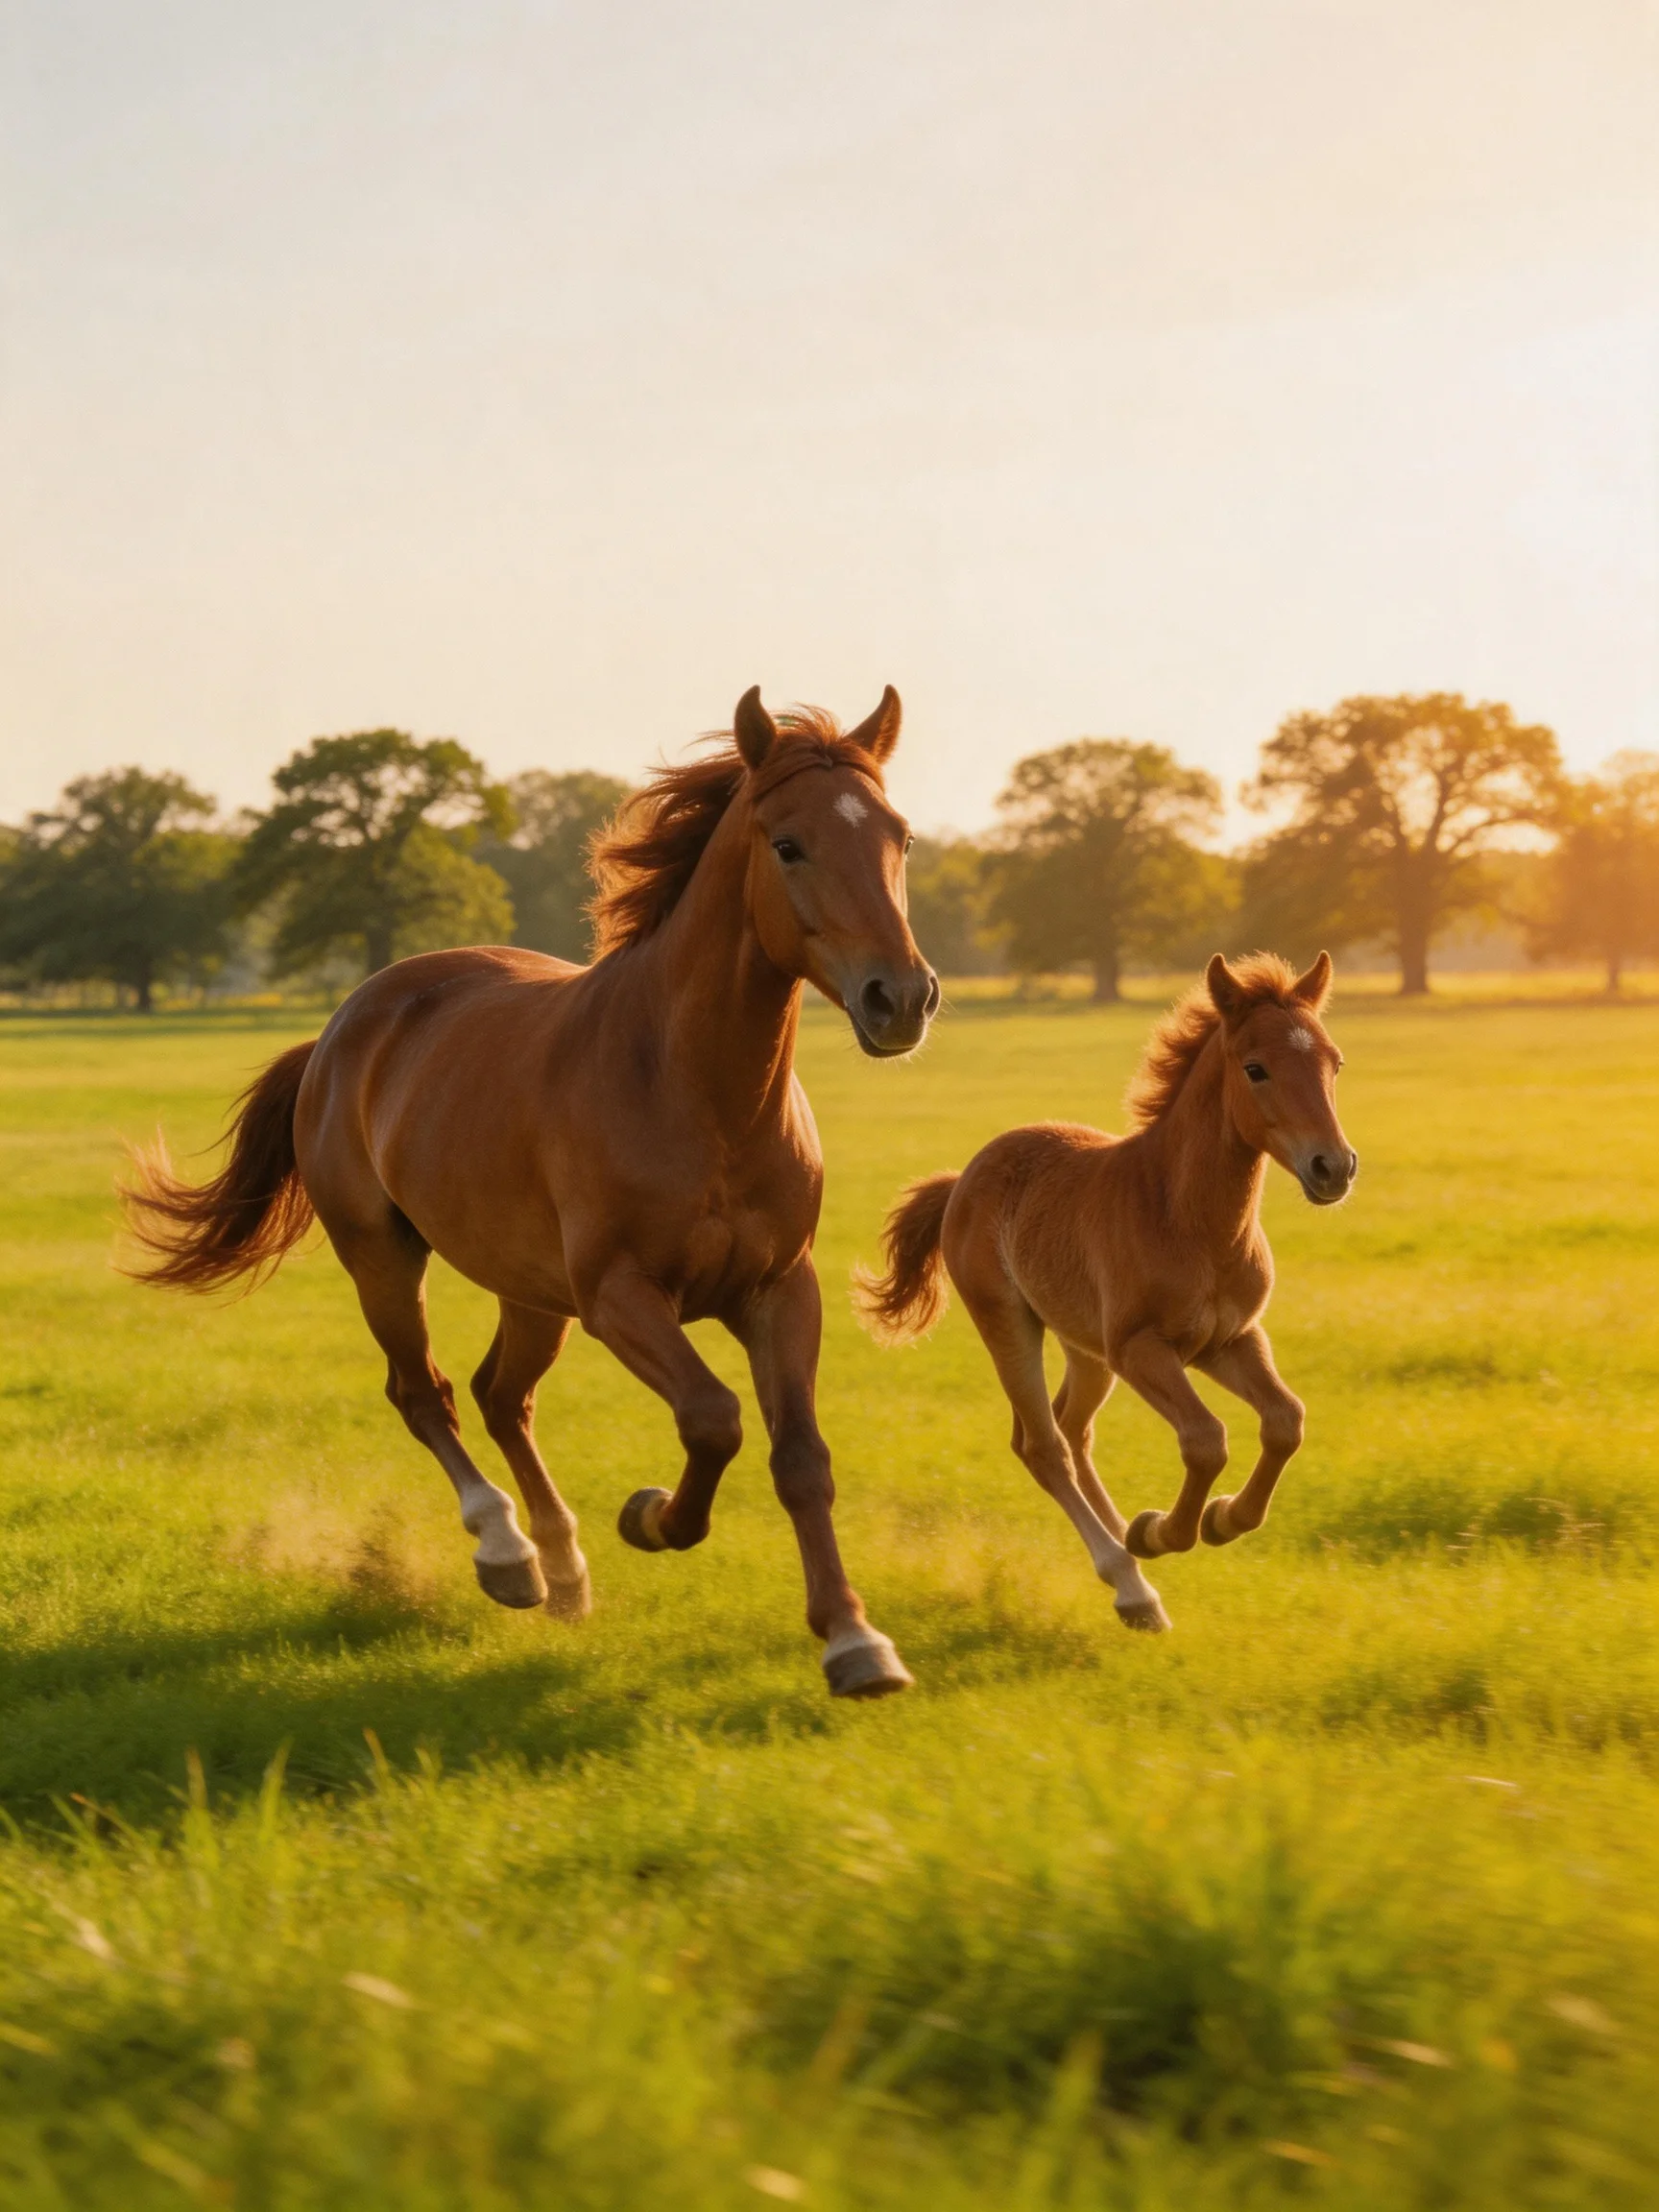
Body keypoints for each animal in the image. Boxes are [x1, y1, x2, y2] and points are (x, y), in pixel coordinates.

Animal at [124, 687, 938, 1699]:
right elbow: (712, 1419)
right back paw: (508, 1555)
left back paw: (563, 1568)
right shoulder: (620, 1297)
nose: (900, 999)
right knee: (424, 1392)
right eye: (788, 843)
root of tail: (342, 1028)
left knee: (500, 1395)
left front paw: (855, 1642)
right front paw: (654, 1516)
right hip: (383, 1259)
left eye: (900, 837)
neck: (696, 1091)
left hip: (529, 1291)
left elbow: (800, 1457)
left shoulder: (780, 1290)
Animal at [859, 952, 1355, 1633]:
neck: (1189, 1220)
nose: (1334, 1168)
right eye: (1255, 1069)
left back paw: (1128, 1547)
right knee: (1043, 1445)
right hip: (1010, 1324)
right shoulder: (1140, 1348)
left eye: (1334, 1062)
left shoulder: (1230, 1340)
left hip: (1085, 1347)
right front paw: (1165, 1530)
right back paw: (1131, 1582)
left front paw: (1220, 1520)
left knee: (1072, 1427)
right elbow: (1205, 1439)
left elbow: (1286, 1421)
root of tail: (962, 1180)